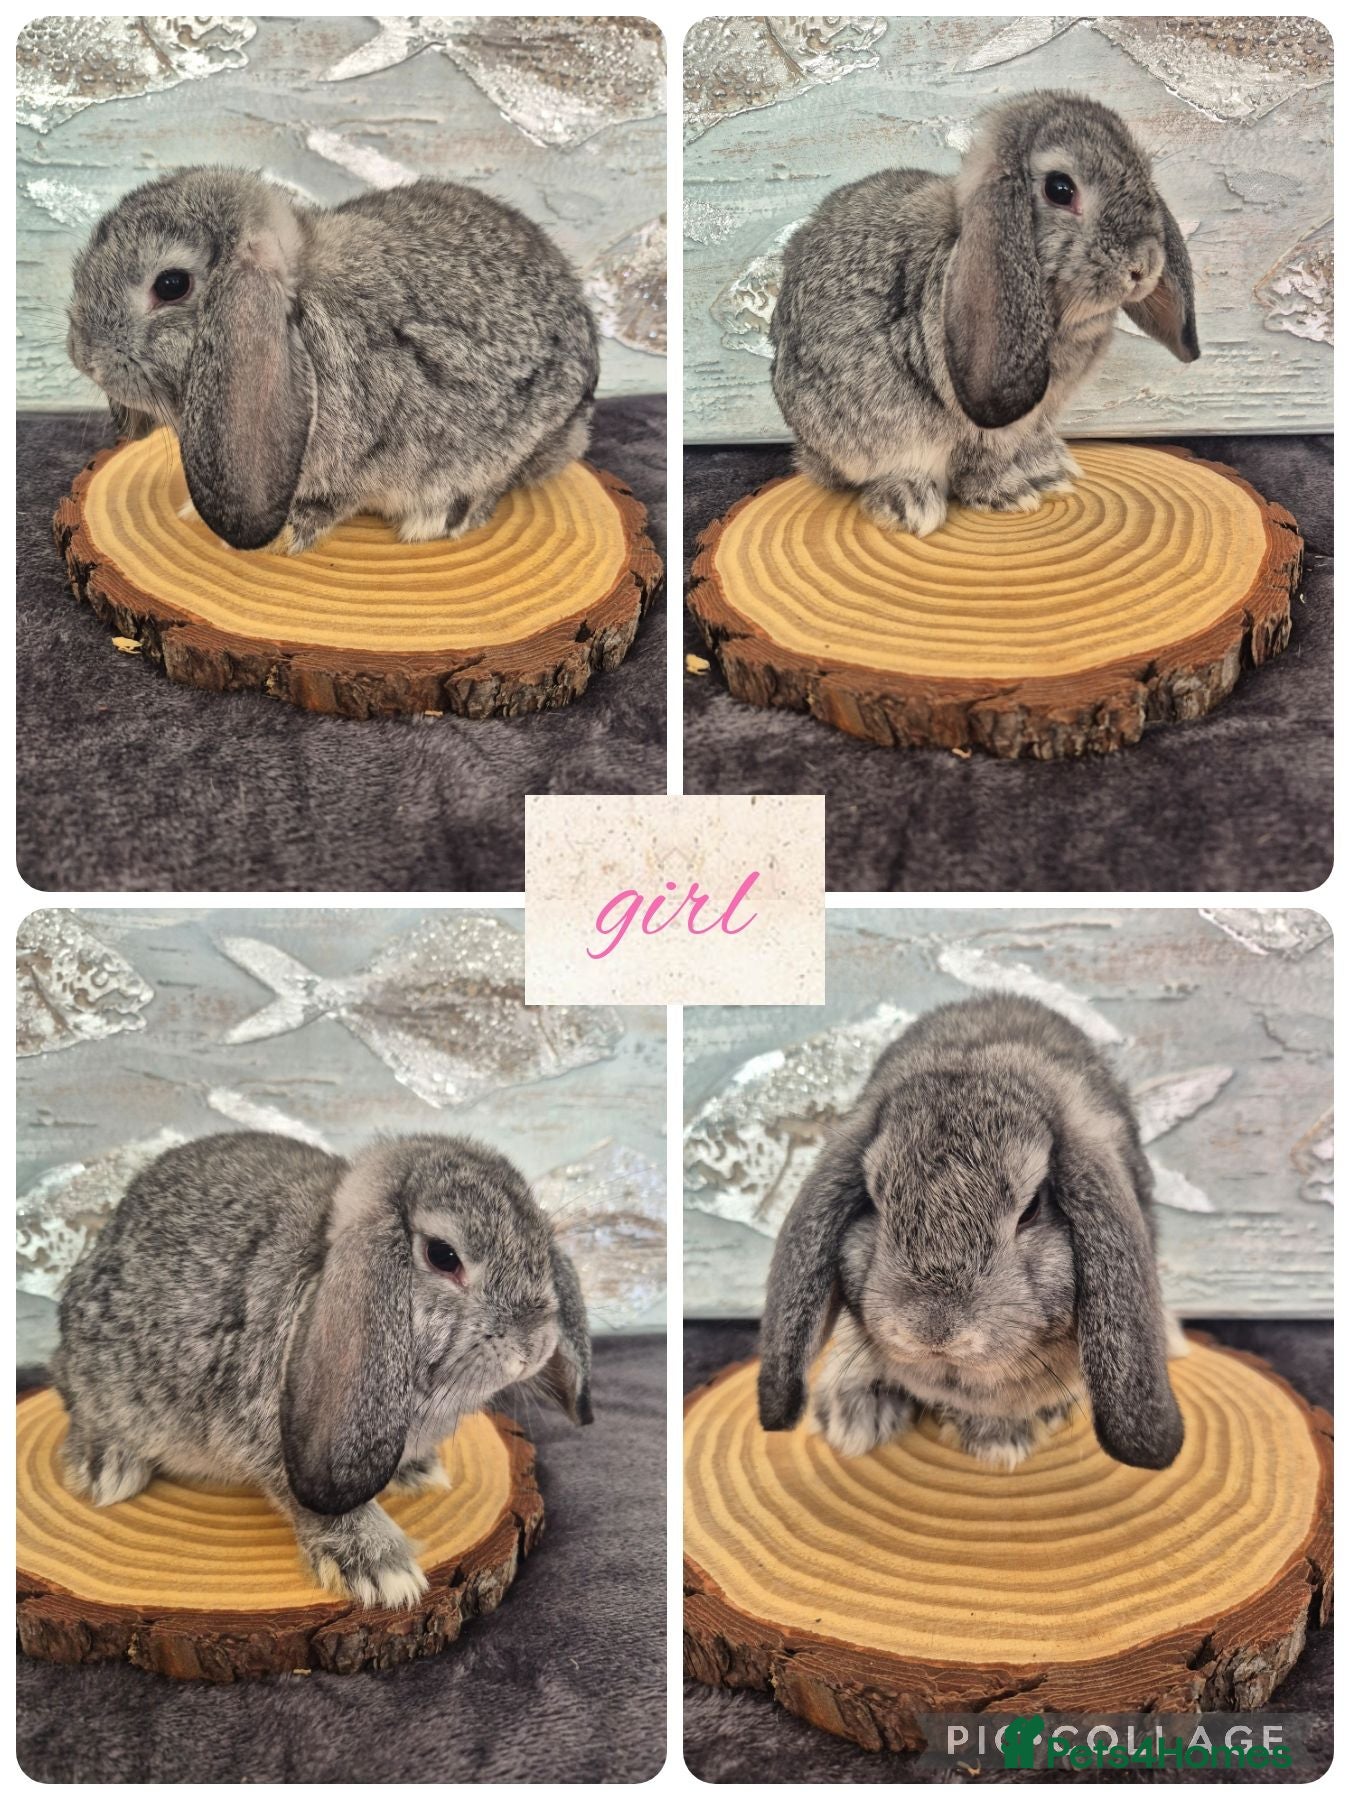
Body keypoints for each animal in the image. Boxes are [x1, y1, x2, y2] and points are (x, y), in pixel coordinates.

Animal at [53, 1132, 592, 1610]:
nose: (534, 1346)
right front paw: (381, 1568)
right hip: (102, 1379)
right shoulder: (275, 1443)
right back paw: (107, 1467)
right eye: (443, 1256)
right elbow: (320, 1506)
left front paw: (418, 1470)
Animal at [65, 167, 599, 553]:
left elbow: (337, 499)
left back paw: (443, 516)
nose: (84, 358)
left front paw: (289, 532)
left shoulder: (372, 447)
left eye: (172, 284)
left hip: (527, 440)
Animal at [770, 91, 1198, 537]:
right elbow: (981, 462)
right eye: (1060, 189)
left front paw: (1048, 473)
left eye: (1146, 175)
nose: (1142, 266)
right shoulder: (980, 426)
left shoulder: (1038, 417)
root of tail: (808, 453)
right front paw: (1009, 493)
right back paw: (911, 502)